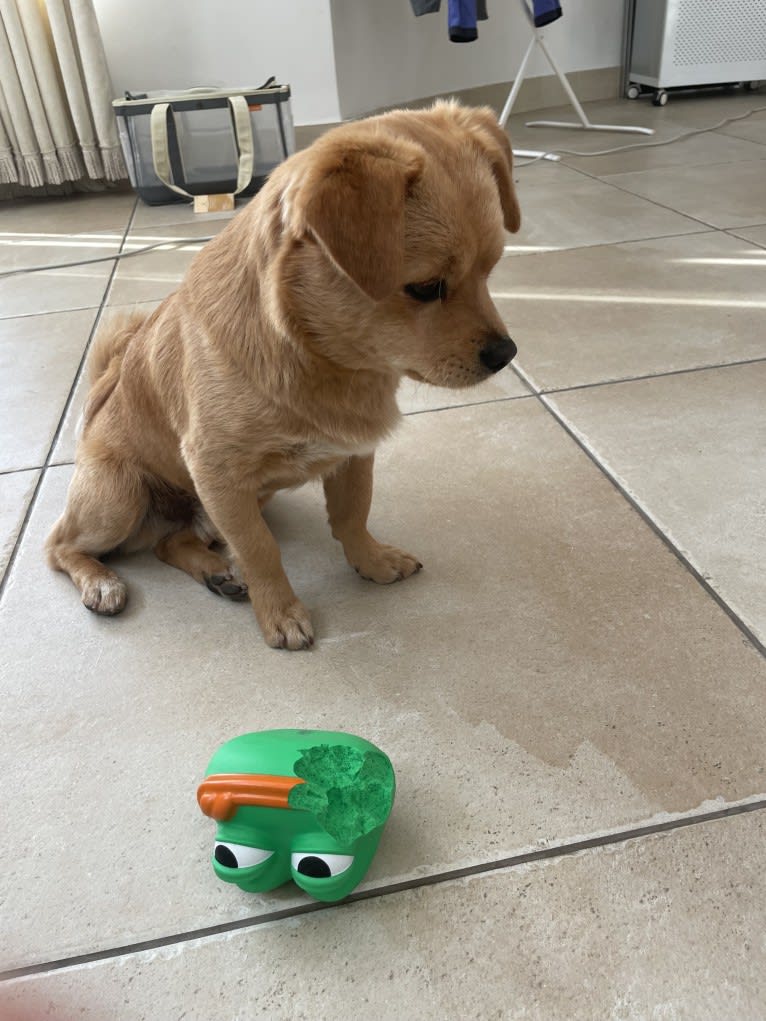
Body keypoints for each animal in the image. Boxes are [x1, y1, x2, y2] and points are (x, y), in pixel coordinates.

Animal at [48, 101, 522, 645]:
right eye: (426, 288)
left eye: (491, 269)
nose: (506, 353)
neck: (326, 360)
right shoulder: (220, 475)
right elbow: (260, 550)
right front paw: (279, 611)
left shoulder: (353, 454)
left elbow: (353, 514)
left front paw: (371, 561)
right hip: (119, 497)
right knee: (60, 546)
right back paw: (101, 582)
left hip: (221, 506)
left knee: (171, 543)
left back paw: (215, 572)